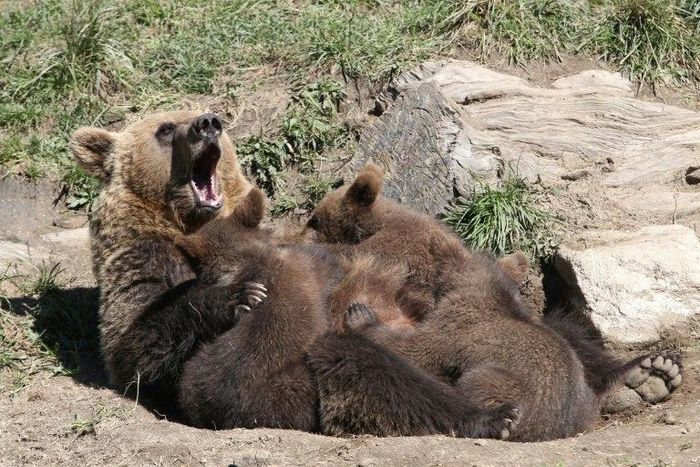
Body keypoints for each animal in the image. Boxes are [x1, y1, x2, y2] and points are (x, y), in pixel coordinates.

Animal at [305, 164, 683, 441]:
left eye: (314, 218)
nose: (307, 220)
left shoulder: (449, 319)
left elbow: (418, 347)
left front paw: (361, 316)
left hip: (501, 382)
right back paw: (648, 375)